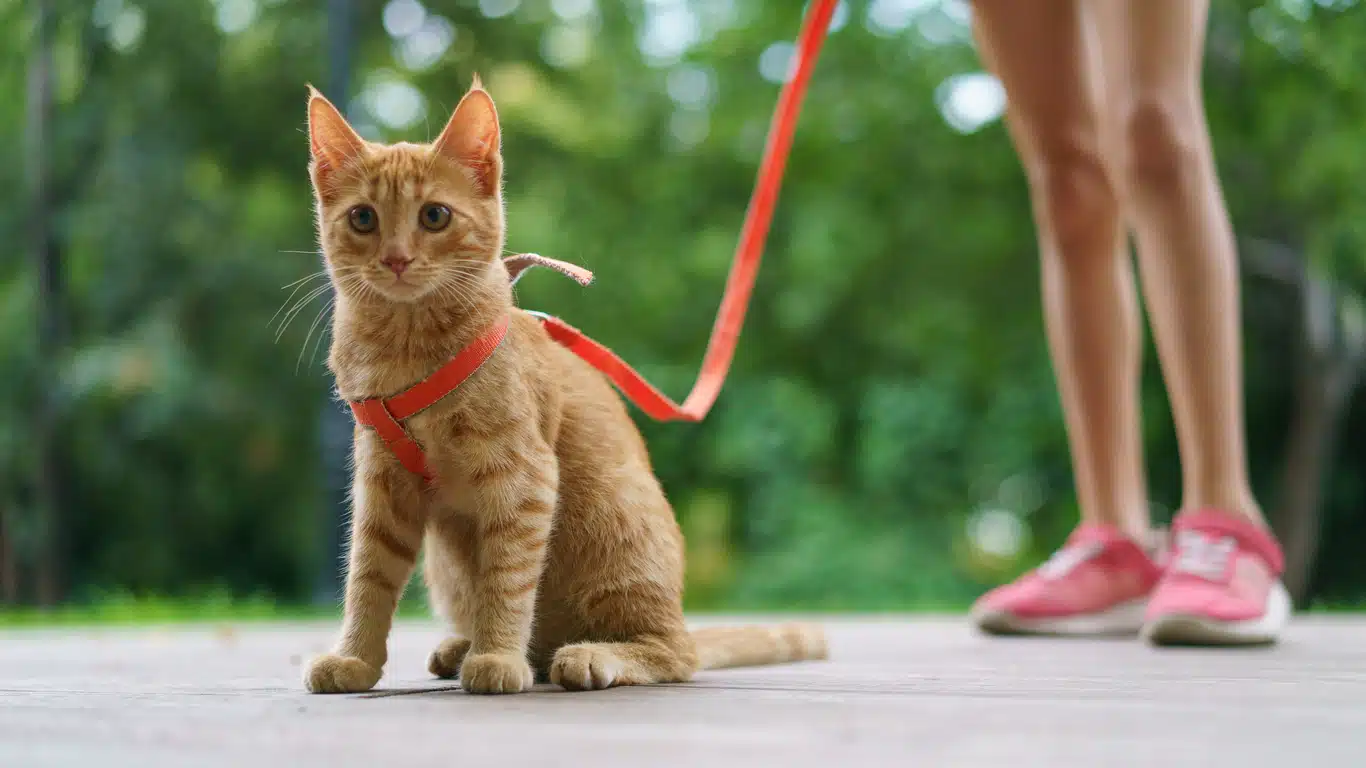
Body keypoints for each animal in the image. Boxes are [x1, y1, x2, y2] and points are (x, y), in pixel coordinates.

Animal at [304, 80, 825, 696]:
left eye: (434, 215)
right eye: (363, 218)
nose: (397, 258)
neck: (405, 349)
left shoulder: (522, 476)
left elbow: (506, 577)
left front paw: (498, 657)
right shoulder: (382, 481)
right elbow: (369, 576)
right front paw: (355, 659)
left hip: (616, 527)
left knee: (673, 653)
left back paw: (586, 655)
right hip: (446, 564)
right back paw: (463, 647)